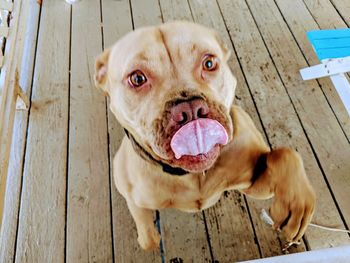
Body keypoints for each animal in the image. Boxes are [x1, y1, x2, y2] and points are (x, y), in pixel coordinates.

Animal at [94, 21, 316, 252]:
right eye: (137, 78)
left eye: (209, 63)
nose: (190, 109)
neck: (192, 175)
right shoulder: (136, 201)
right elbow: (148, 239)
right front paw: (151, 237)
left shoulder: (255, 184)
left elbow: (284, 155)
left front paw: (295, 204)